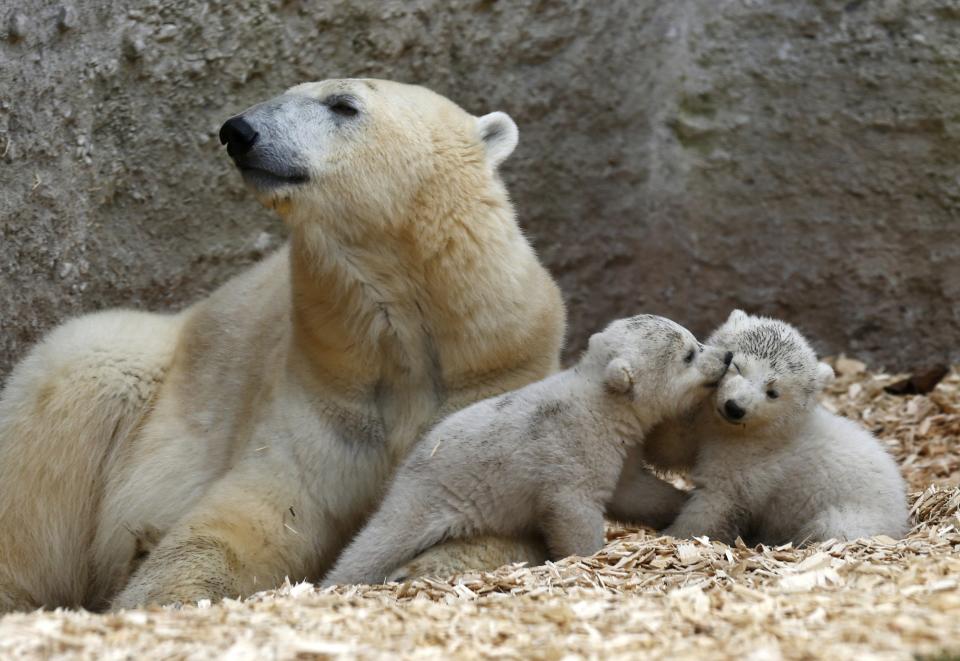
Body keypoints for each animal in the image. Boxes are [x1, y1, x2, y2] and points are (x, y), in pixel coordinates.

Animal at [0, 80, 568, 612]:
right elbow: (260, 515)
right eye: (287, 91)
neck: (405, 330)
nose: (238, 131)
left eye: (343, 104)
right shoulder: (324, 391)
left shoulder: (496, 374)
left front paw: (418, 566)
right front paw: (163, 597)